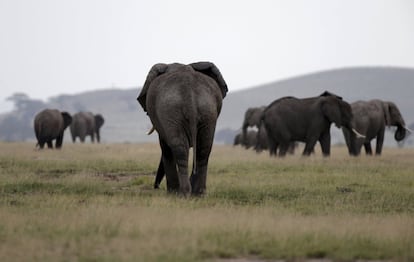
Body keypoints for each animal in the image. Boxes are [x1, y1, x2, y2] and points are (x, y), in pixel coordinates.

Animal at [137, 61, 228, 196]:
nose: (156, 187)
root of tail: (189, 92)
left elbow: (165, 147)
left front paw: (172, 192)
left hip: (171, 110)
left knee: (178, 148)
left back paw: (181, 194)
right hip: (208, 110)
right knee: (204, 149)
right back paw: (198, 194)